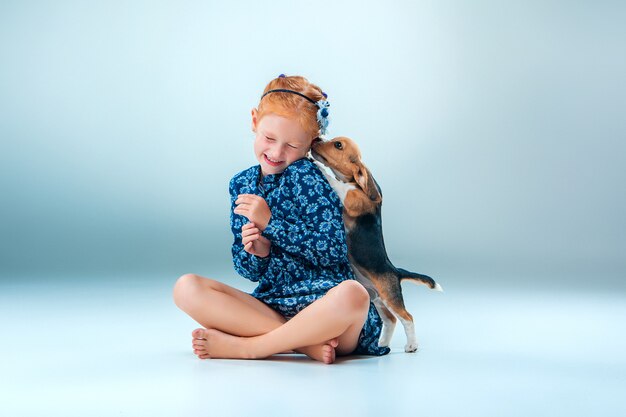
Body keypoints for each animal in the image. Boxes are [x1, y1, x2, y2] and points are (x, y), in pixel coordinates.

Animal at [310, 136, 442, 352]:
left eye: (338, 145)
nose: (316, 139)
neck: (354, 182)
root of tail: (395, 271)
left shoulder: (348, 196)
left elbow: (333, 181)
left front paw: (318, 165)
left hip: (389, 297)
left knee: (407, 317)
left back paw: (411, 345)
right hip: (377, 298)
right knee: (390, 321)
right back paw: (382, 344)